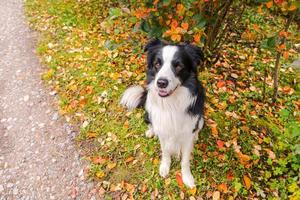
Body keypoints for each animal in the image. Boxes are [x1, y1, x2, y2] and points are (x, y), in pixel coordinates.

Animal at [120, 39, 205, 188]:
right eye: (157, 64)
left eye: (178, 66)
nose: (161, 83)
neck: (171, 104)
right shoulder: (163, 130)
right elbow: (165, 151)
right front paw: (165, 167)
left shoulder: (188, 133)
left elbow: (185, 160)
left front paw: (187, 177)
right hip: (148, 113)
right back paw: (151, 131)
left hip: (201, 119)